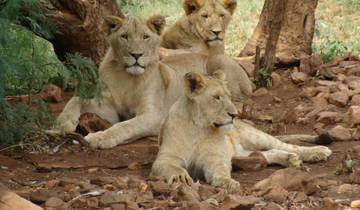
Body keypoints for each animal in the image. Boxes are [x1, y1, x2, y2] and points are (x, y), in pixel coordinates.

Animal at [55, 14, 253, 148]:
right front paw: (62, 123)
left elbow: (125, 126)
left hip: (218, 62)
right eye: (124, 36)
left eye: (145, 37)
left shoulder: (153, 115)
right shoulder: (108, 108)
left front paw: (100, 138)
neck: (127, 78)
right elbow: (76, 99)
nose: (136, 55)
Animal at [151, 71, 332, 192]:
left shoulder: (215, 158)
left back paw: (318, 152)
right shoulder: (165, 158)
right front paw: (180, 177)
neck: (199, 128)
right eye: (217, 98)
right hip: (240, 152)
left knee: (288, 146)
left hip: (256, 136)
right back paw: (291, 160)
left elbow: (220, 170)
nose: (234, 114)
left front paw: (227, 182)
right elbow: (172, 167)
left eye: (229, 96)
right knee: (265, 154)